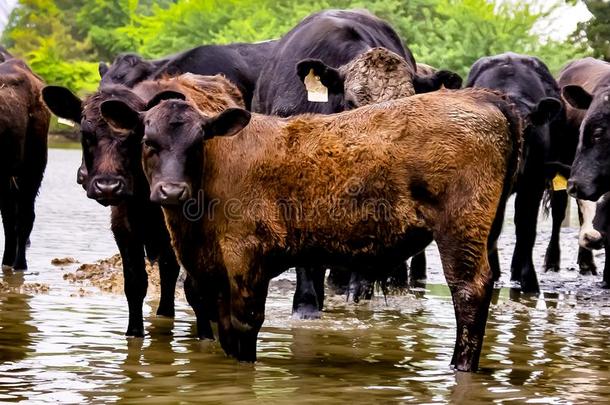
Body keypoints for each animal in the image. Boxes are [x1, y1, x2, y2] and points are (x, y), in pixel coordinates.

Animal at [100, 74, 516, 370]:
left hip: (461, 228)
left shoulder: (248, 259)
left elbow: (244, 325)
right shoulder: (212, 272)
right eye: (148, 142)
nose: (171, 191)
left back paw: (460, 366)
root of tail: (481, 96)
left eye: (197, 142)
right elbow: (223, 326)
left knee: (469, 291)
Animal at [464, 52, 564, 294]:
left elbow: (526, 227)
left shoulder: (534, 182)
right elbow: (494, 225)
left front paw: (529, 280)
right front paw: (491, 272)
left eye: (528, 129)